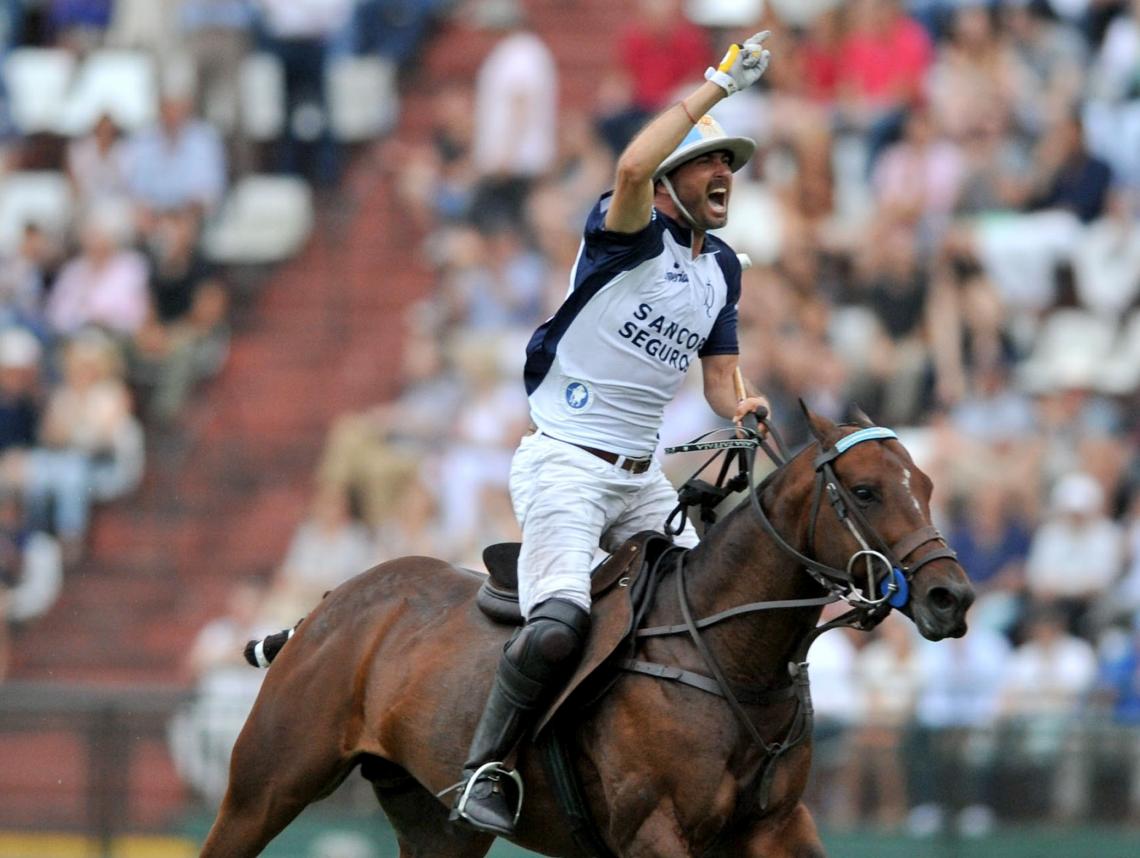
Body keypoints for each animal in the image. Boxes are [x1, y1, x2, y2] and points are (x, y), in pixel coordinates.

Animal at [202, 410, 971, 856]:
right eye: (866, 491)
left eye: (929, 486)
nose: (952, 597)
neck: (727, 655)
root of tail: (329, 603)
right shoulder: (654, 830)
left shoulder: (779, 827)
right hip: (266, 787)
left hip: (432, 823)